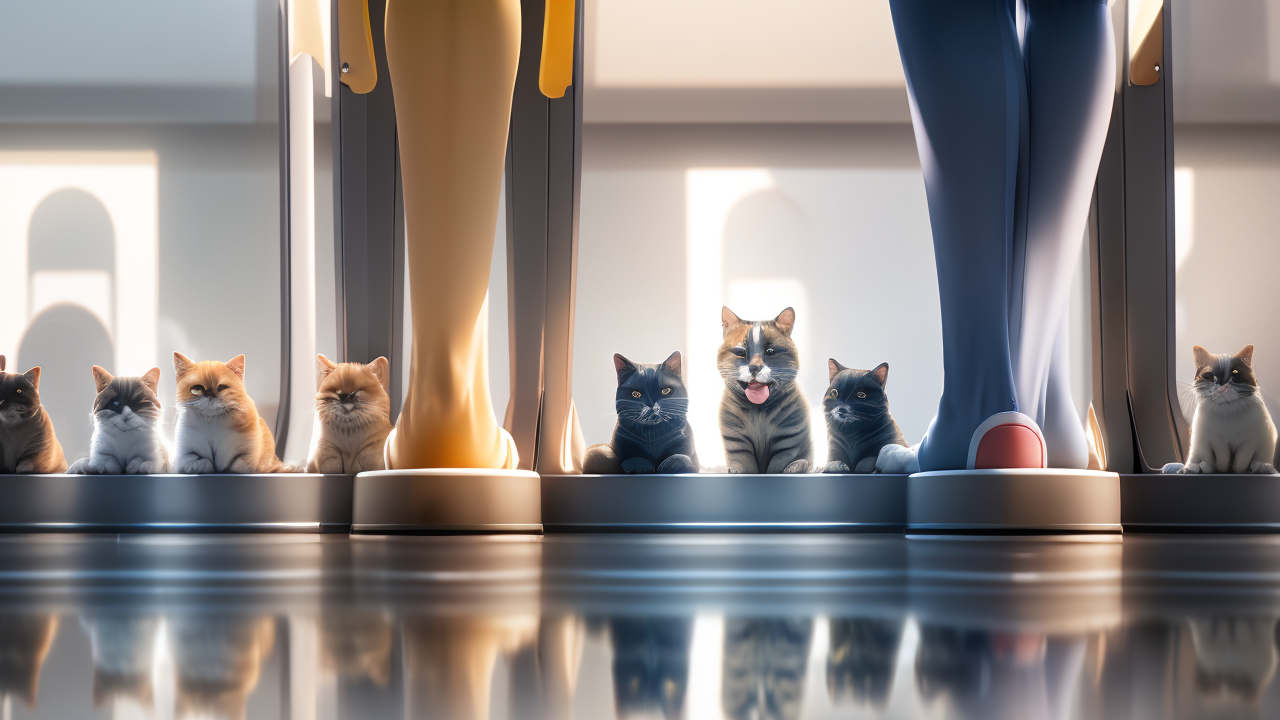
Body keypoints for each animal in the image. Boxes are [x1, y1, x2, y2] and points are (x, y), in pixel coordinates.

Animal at [716, 304, 814, 474]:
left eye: (770, 352)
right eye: (741, 352)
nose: (755, 367)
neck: (758, 410)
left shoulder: (786, 442)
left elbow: (777, 467)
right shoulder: (738, 443)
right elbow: (745, 466)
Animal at [1172, 345, 1280, 474]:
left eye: (1234, 373)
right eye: (1211, 375)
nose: (1223, 384)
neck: (1227, 410)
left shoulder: (1248, 442)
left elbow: (1240, 464)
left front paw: (1239, 470)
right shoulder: (1218, 442)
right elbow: (1222, 461)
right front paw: (1222, 469)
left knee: (1257, 463)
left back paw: (1262, 467)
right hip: (1198, 447)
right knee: (1202, 461)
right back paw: (1196, 467)